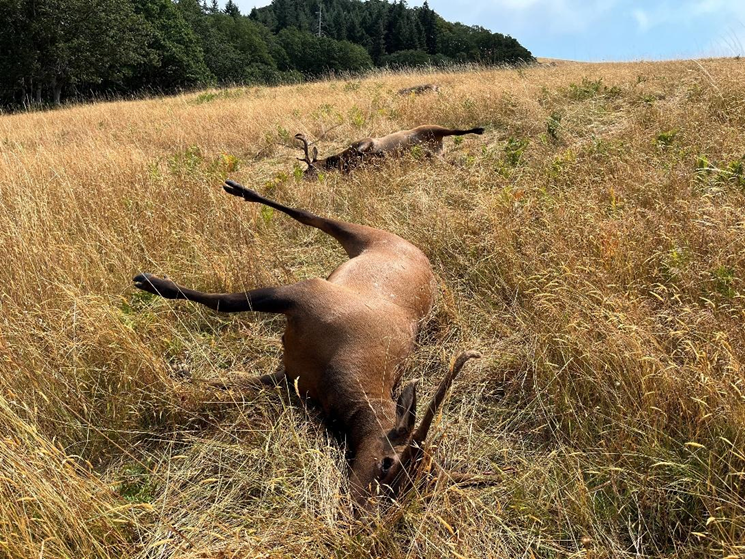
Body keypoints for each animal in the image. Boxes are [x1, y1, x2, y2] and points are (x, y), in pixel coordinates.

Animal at [132, 180, 482, 512]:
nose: (363, 518)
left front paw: (178, 374)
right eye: (388, 464)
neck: (346, 365)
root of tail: (416, 250)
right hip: (362, 235)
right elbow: (224, 302)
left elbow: (226, 382)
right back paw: (238, 189)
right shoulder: (303, 293)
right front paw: (153, 283)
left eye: (414, 488)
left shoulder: (287, 375)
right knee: (309, 215)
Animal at [294, 125, 486, 176]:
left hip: (433, 131)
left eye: (309, 169)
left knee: (456, 131)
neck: (344, 160)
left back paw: (479, 129)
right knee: (454, 162)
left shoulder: (365, 141)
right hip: (436, 155)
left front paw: (380, 154)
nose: (303, 177)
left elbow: (366, 151)